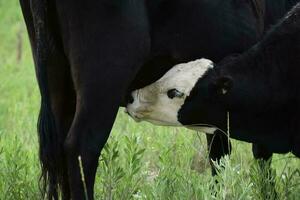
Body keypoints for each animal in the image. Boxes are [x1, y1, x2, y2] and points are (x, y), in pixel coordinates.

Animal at [20, 0, 298, 198]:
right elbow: (254, 152)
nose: (133, 98)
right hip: (103, 81)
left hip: (58, 83)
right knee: (82, 148)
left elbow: (222, 155)